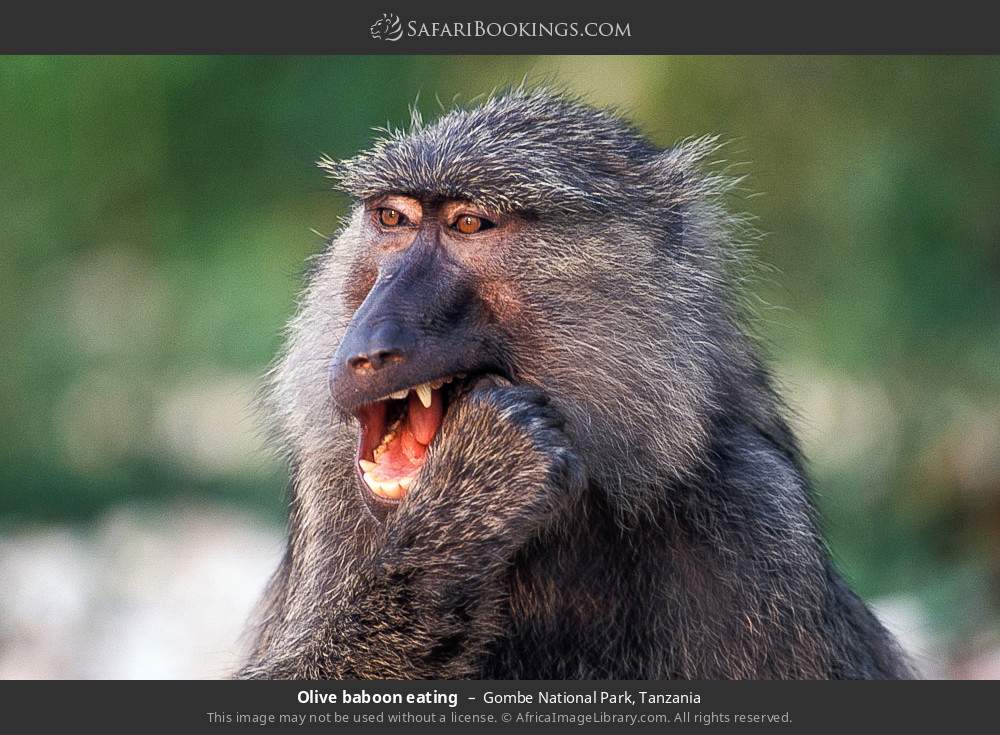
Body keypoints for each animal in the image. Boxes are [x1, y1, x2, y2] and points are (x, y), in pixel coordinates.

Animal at [237, 88, 913, 679]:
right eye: (391, 218)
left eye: (469, 224)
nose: (368, 348)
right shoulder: (330, 496)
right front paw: (474, 495)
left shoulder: (759, 519)